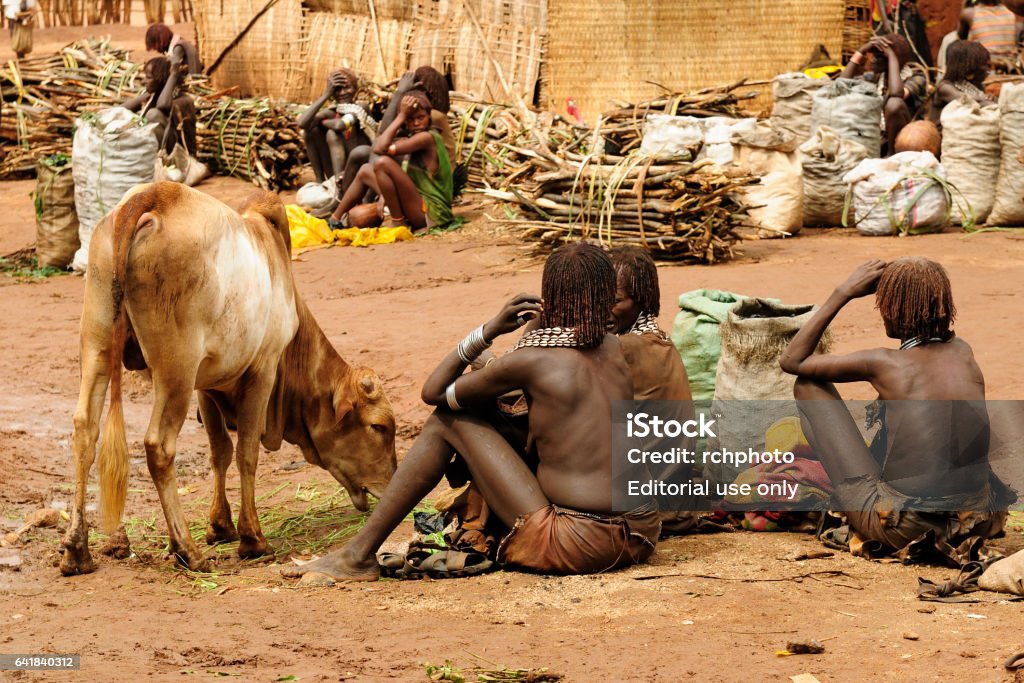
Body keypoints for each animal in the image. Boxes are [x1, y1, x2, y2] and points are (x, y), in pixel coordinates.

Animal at [60, 183, 395, 577]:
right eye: (379, 427)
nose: (390, 482)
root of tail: (150, 198)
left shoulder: (207, 385)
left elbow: (219, 452)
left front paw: (221, 526)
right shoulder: (262, 370)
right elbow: (246, 453)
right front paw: (252, 538)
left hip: (96, 345)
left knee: (85, 431)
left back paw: (77, 551)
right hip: (175, 368)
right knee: (159, 446)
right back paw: (187, 550)